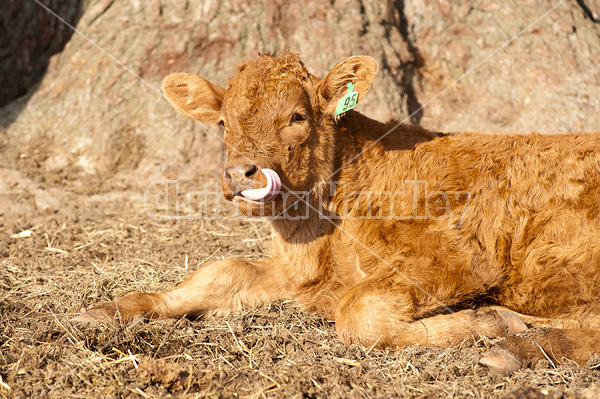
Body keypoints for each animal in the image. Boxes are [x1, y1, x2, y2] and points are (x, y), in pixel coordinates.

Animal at [75, 51, 600, 374]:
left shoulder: (457, 255)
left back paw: (515, 347)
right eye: (223, 122)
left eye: (297, 116)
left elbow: (358, 314)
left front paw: (485, 324)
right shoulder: (301, 273)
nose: (241, 173)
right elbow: (221, 271)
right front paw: (113, 309)